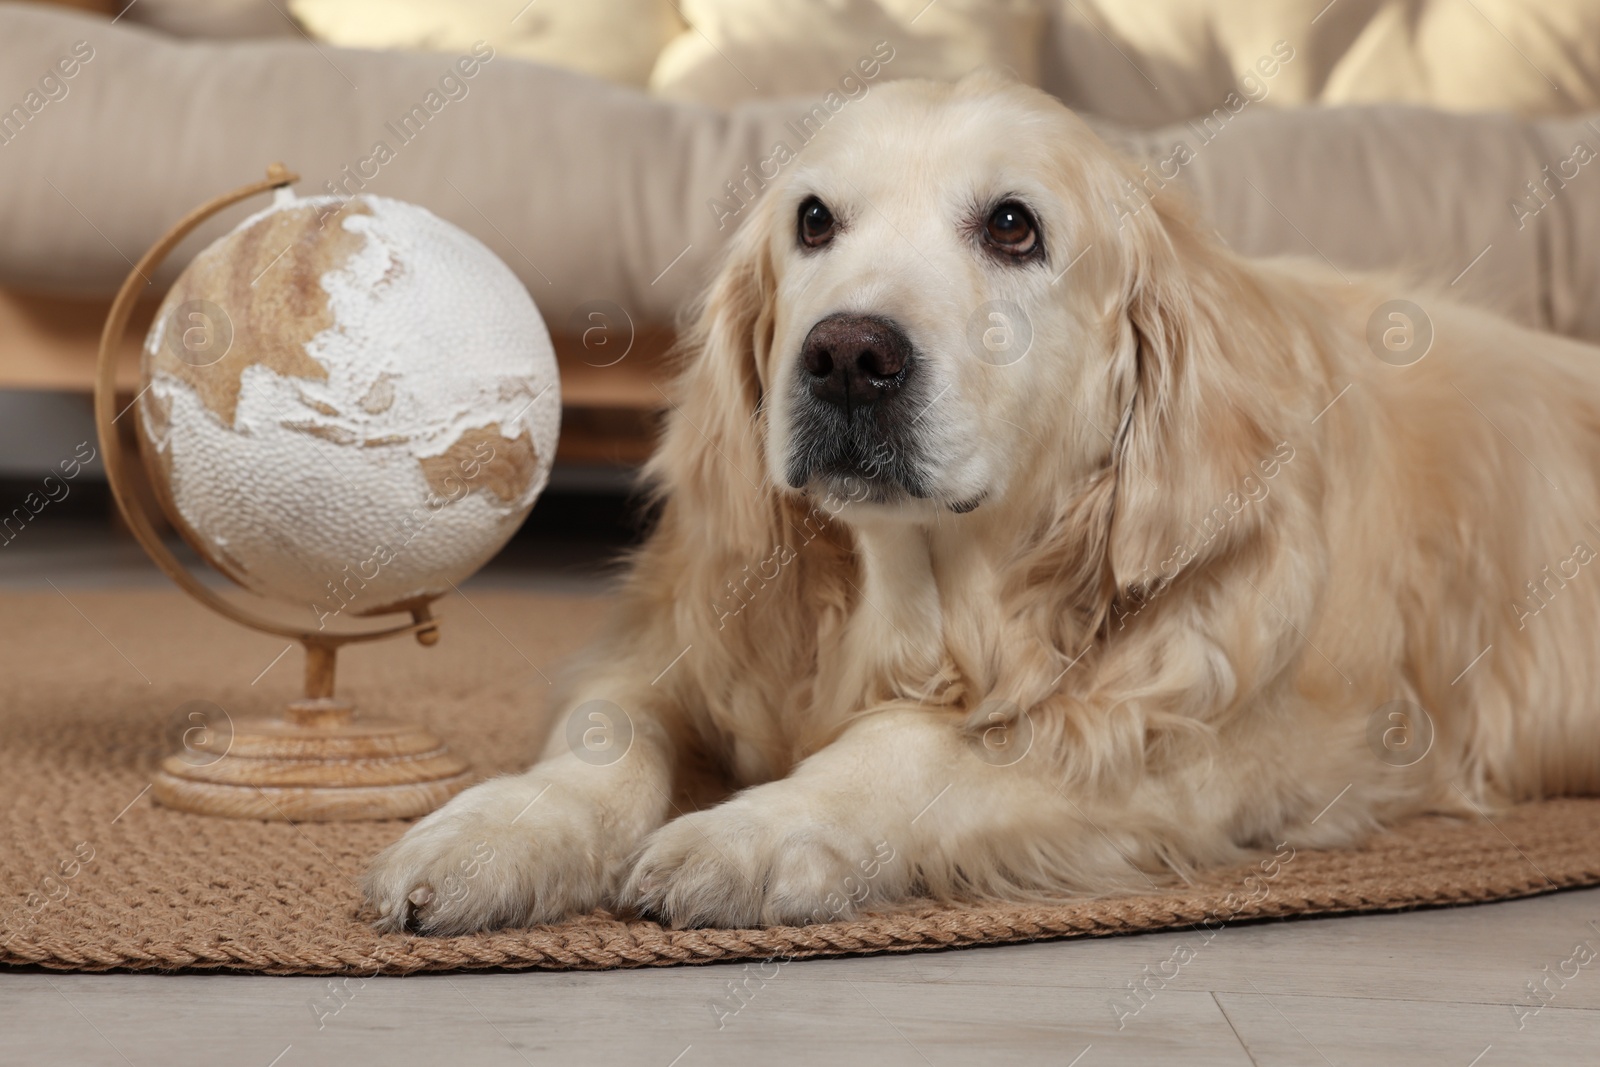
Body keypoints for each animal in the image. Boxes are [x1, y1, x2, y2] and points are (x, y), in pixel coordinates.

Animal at [363, 73, 1600, 934]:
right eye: (813, 220)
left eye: (1013, 225)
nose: (847, 357)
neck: (923, 594)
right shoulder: (684, 638)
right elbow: (605, 736)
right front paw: (498, 829)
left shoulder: (1194, 749)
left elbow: (906, 747)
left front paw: (759, 830)